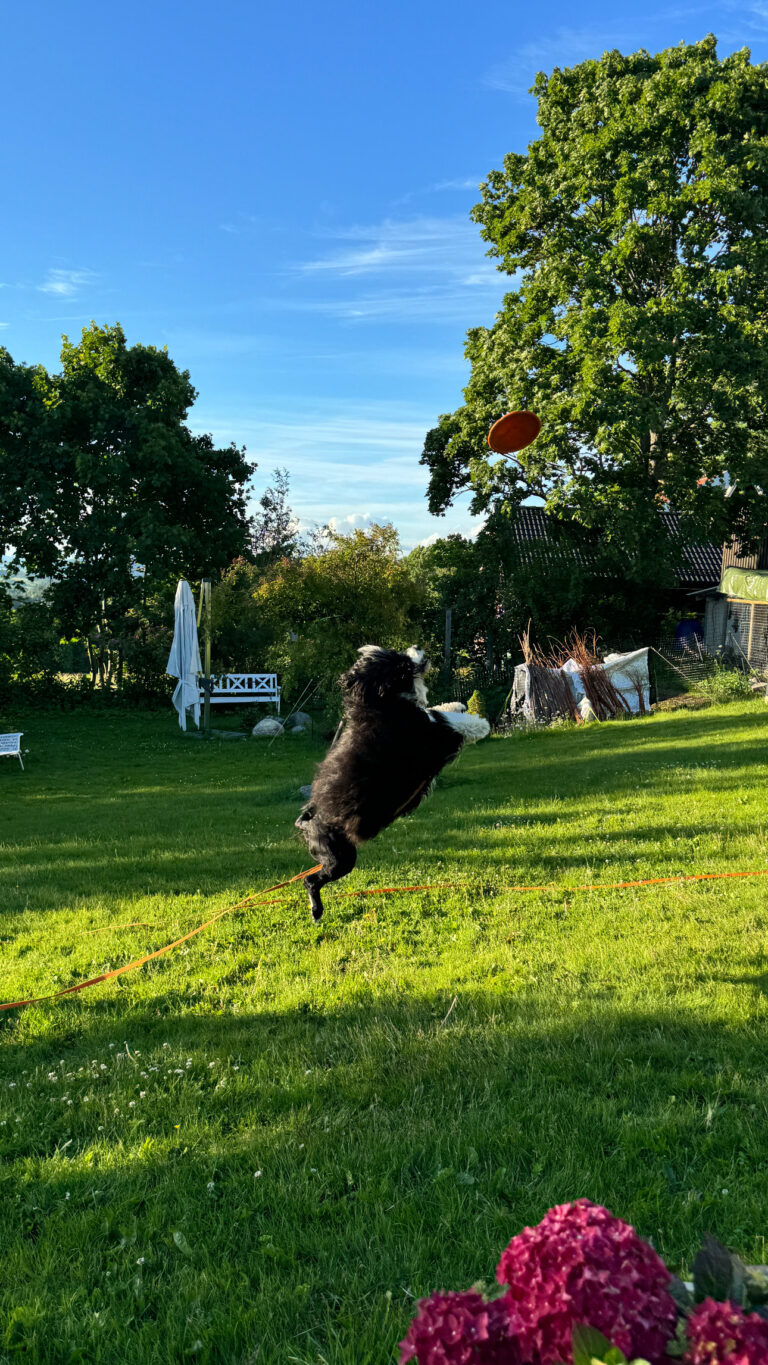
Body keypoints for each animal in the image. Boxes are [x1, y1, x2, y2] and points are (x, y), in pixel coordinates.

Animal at [294, 644, 485, 922]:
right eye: (402, 662)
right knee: (311, 881)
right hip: (339, 857)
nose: (416, 647)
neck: (382, 703)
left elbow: (439, 710)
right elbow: (448, 721)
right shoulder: (431, 736)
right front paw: (481, 723)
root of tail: (307, 820)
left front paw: (459, 704)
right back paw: (316, 912)